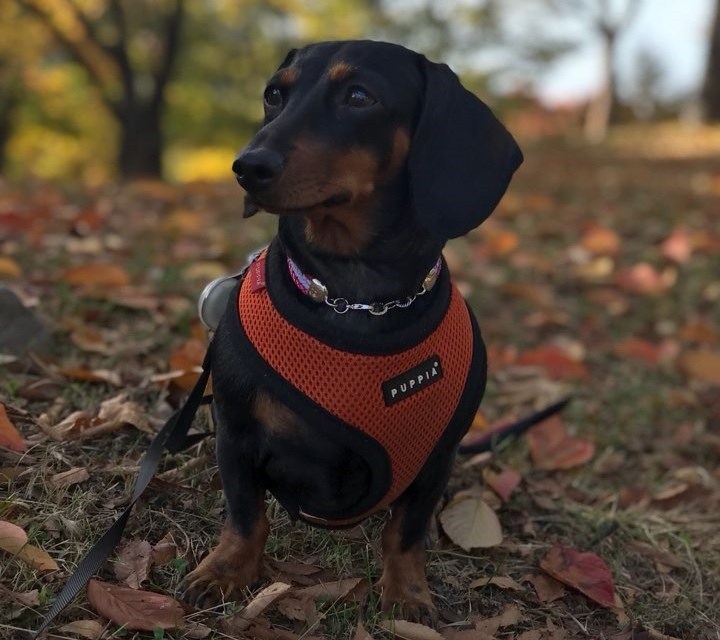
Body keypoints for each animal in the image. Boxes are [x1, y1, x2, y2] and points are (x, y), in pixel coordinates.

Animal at [184, 40, 524, 620]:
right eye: (274, 94)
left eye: (359, 96)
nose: (247, 167)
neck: (356, 298)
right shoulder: (236, 430)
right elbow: (246, 515)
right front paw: (226, 572)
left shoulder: (439, 456)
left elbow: (405, 531)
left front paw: (407, 592)